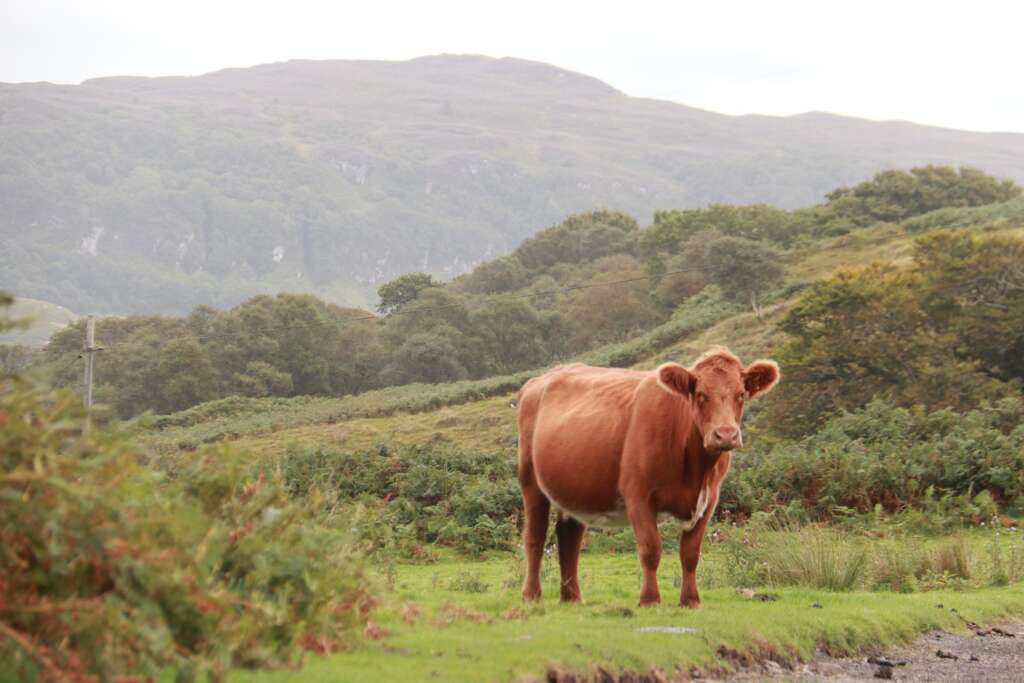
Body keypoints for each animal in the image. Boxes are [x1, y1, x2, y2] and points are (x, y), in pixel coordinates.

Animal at [516, 350, 778, 606]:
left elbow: (691, 554)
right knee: (535, 537)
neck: (695, 470)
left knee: (569, 538)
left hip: (575, 488)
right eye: (700, 394)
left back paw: (571, 598)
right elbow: (651, 550)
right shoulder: (638, 495)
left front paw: (691, 600)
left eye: (741, 394)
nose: (725, 435)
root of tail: (540, 380)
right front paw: (650, 599)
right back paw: (531, 595)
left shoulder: (709, 500)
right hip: (531, 482)